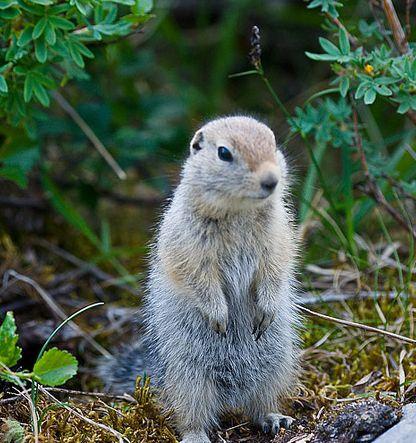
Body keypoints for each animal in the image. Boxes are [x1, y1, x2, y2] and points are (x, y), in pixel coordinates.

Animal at [101, 116, 302, 442]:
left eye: (273, 144)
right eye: (224, 153)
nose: (271, 181)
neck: (239, 211)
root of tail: (232, 394)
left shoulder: (278, 236)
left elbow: (276, 268)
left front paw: (266, 310)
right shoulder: (188, 245)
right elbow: (198, 278)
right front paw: (219, 316)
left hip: (275, 363)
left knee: (258, 405)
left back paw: (274, 418)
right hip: (189, 376)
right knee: (191, 414)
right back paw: (197, 434)